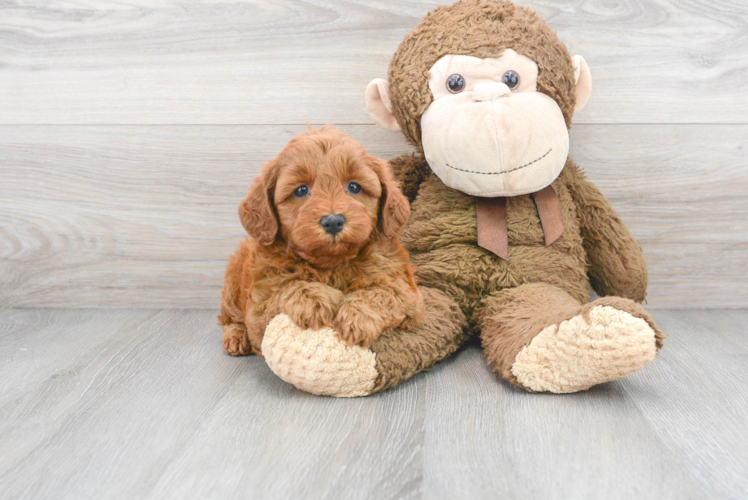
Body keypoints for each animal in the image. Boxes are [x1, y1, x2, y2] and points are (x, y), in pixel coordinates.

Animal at [219, 127, 424, 358]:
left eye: (354, 187)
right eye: (300, 190)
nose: (333, 221)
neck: (332, 264)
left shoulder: (409, 294)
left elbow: (384, 292)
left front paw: (357, 318)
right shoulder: (259, 307)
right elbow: (286, 287)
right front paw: (316, 299)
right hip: (232, 283)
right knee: (230, 317)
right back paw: (236, 337)